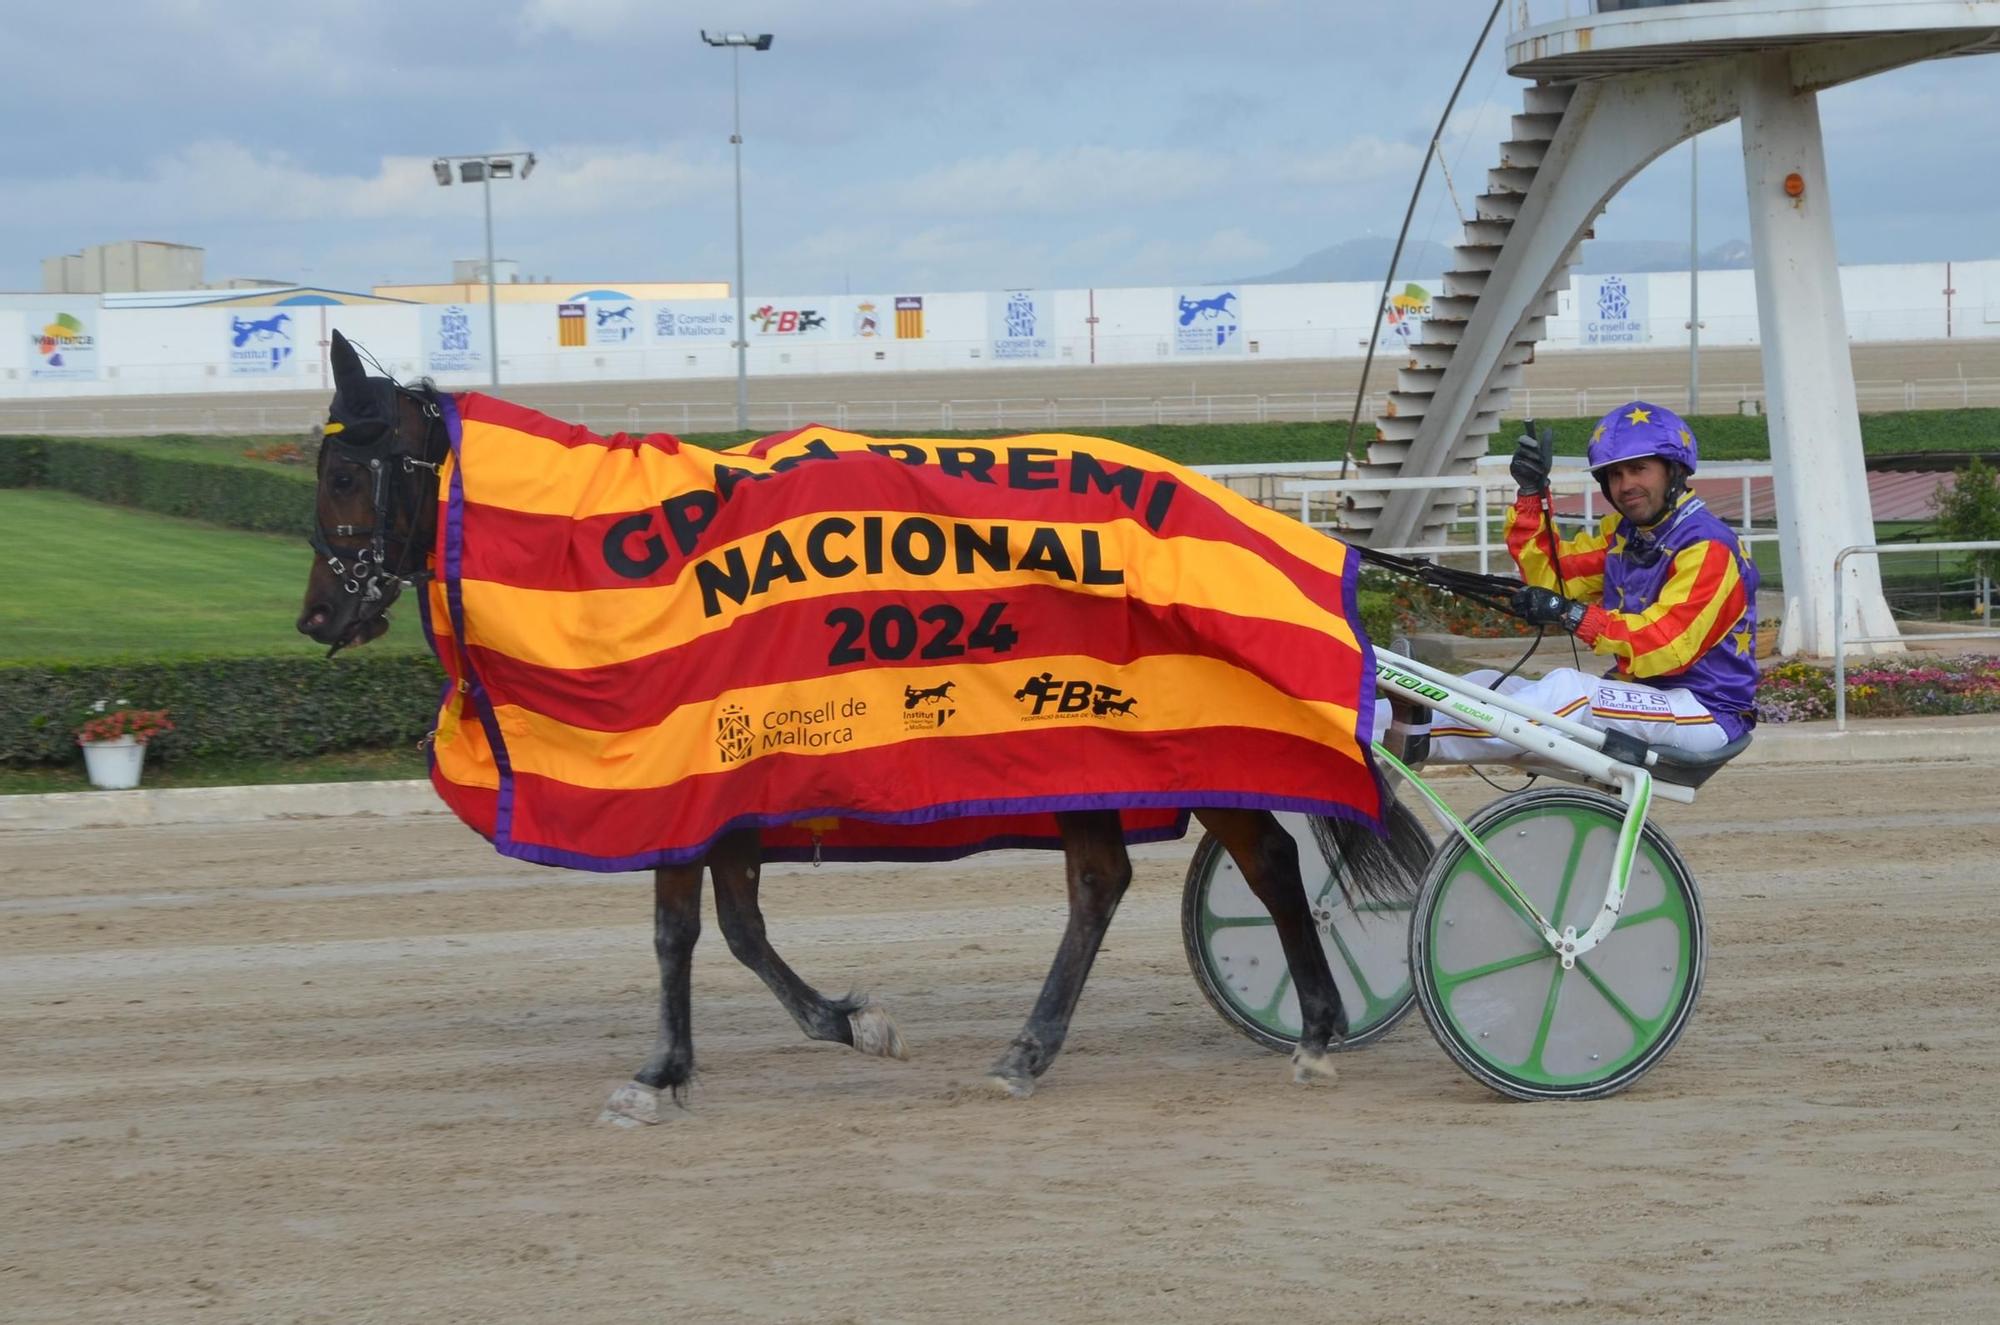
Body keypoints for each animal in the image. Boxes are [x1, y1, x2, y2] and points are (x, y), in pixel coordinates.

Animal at [300, 334, 1424, 1128]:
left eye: (345, 476)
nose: (315, 615)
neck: (631, 572)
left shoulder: (689, 771)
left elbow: (682, 930)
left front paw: (665, 1069)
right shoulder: (730, 776)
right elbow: (735, 928)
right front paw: (832, 1024)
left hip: (1139, 737)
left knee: (1224, 865)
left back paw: (1255, 1033)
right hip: (1113, 753)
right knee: (1154, 874)